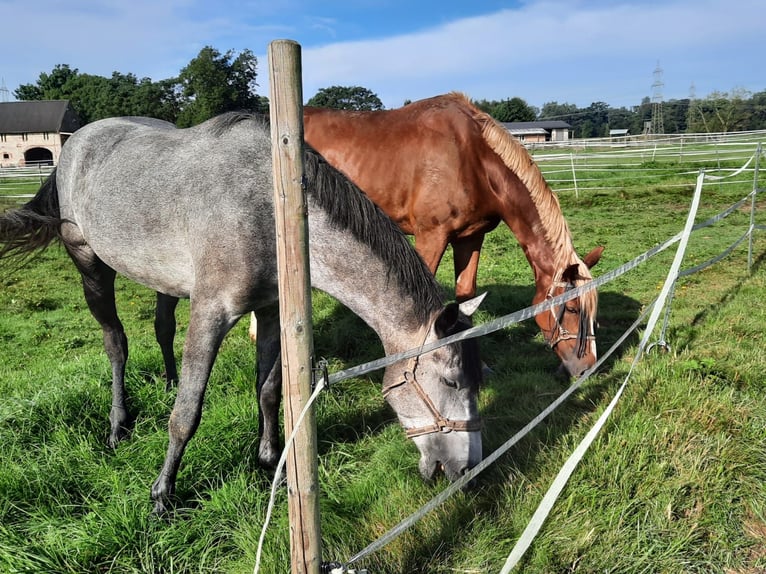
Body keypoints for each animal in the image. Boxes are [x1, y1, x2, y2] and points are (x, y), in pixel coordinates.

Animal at [1, 112, 486, 516]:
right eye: (450, 382)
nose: (467, 470)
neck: (272, 207)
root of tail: (75, 144)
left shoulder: (270, 311)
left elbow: (268, 390)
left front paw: (271, 461)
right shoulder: (212, 312)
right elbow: (186, 413)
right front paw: (162, 494)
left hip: (162, 280)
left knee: (162, 328)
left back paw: (166, 380)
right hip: (90, 265)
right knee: (116, 343)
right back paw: (119, 425)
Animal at [302, 93, 608, 378]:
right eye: (571, 308)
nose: (587, 368)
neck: (472, 158)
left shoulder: (470, 237)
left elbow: (465, 294)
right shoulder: (431, 236)